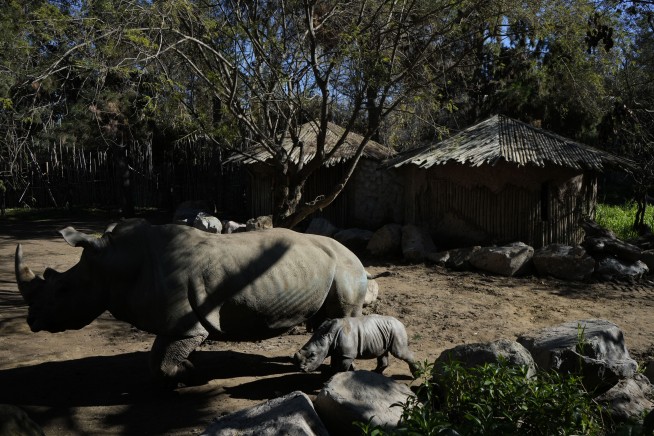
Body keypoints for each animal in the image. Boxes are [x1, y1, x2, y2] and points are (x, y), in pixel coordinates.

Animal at [15, 218, 371, 385]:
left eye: (63, 290)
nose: (31, 321)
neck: (117, 260)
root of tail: (355, 253)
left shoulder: (184, 325)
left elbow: (161, 363)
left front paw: (192, 374)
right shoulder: (179, 324)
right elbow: (161, 358)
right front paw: (189, 369)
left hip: (347, 267)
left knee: (342, 314)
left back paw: (331, 375)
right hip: (325, 266)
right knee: (324, 318)